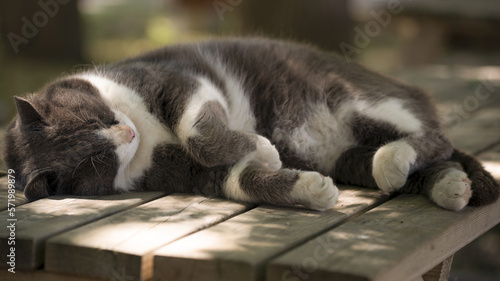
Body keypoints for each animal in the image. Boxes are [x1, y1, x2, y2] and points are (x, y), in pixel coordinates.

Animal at [1, 38, 498, 210]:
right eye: (96, 159)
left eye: (97, 118)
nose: (126, 132)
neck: (147, 141)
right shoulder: (183, 174)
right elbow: (239, 180)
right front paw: (305, 186)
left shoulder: (180, 80)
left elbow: (197, 130)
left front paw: (260, 145)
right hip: (346, 155)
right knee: (423, 160)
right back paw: (449, 187)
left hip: (354, 99)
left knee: (435, 138)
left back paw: (399, 158)